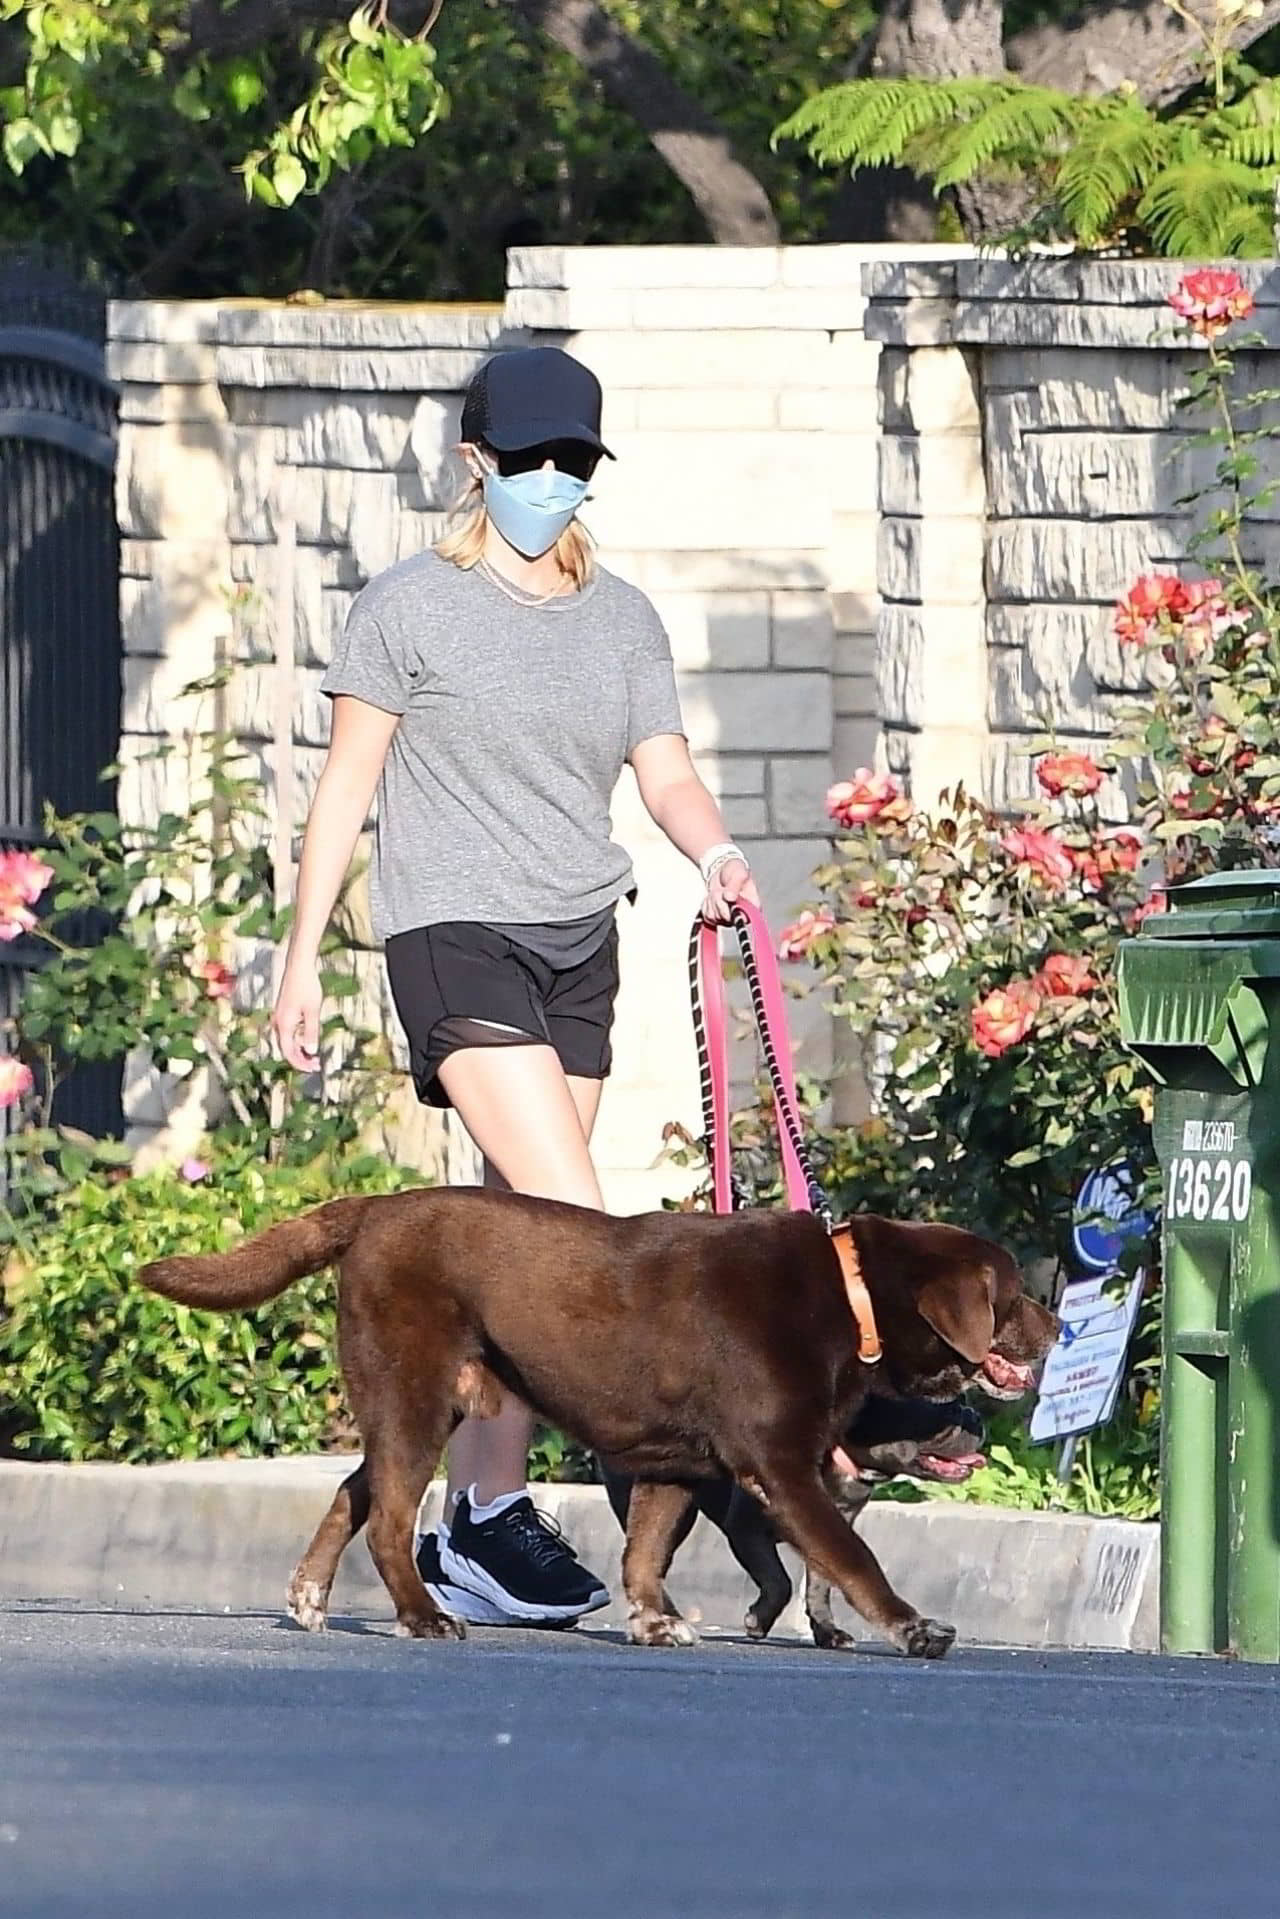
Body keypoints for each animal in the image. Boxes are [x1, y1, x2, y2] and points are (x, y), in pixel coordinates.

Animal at [140, 1189, 1059, 1658]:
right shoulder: (781, 1466)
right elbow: (851, 1556)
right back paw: (422, 1615)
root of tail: (371, 1210)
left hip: (414, 1399)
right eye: (1013, 1294)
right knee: (391, 1517)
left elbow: (646, 1550)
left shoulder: (674, 1465)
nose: (1059, 1327)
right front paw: (914, 1626)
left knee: (351, 1489)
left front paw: (653, 1621)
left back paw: (309, 1596)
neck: (852, 1292)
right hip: (416, 1394)